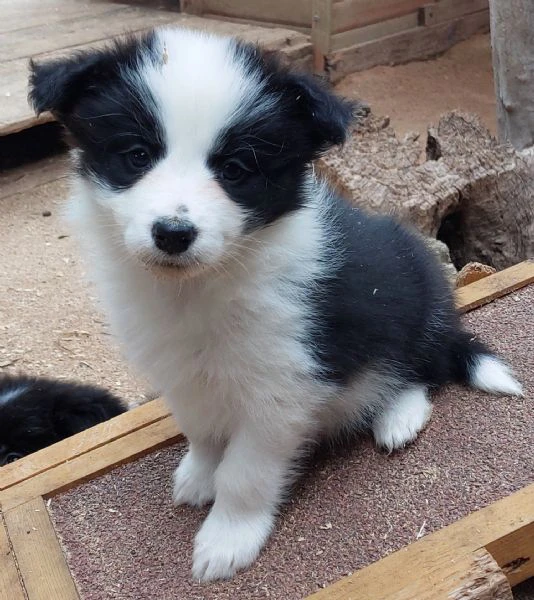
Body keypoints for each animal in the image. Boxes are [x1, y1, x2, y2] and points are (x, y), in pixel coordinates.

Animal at [28, 28, 524, 580]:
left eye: (235, 169)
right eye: (137, 155)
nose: (173, 233)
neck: (199, 287)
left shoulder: (281, 387)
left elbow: (245, 471)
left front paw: (227, 540)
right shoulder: (181, 372)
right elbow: (202, 432)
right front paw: (199, 475)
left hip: (418, 308)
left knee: (420, 367)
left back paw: (398, 417)